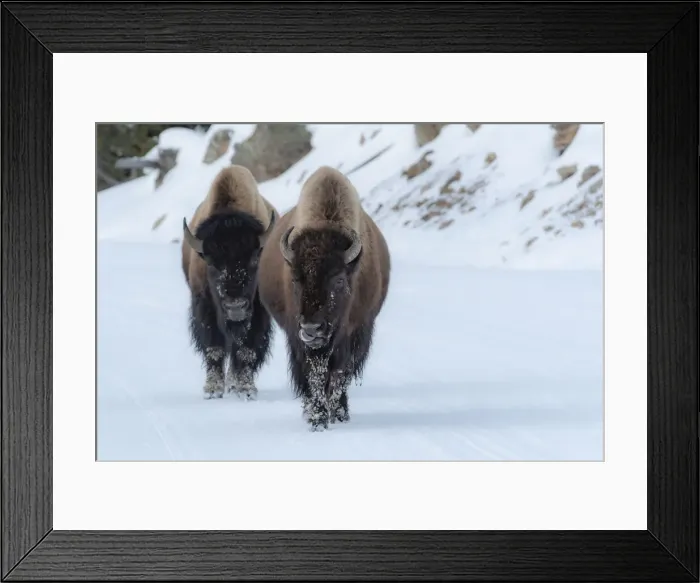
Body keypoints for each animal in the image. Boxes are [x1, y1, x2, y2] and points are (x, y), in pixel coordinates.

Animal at [182, 165, 278, 401]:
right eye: (211, 263)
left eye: (255, 259)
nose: (235, 306)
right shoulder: (204, 305)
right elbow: (214, 347)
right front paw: (212, 390)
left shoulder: (259, 311)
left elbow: (247, 350)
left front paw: (246, 390)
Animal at [258, 166, 391, 430]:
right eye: (295, 279)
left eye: (338, 279)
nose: (312, 328)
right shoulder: (301, 339)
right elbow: (315, 375)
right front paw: (317, 419)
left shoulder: (355, 332)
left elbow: (340, 373)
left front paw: (337, 415)